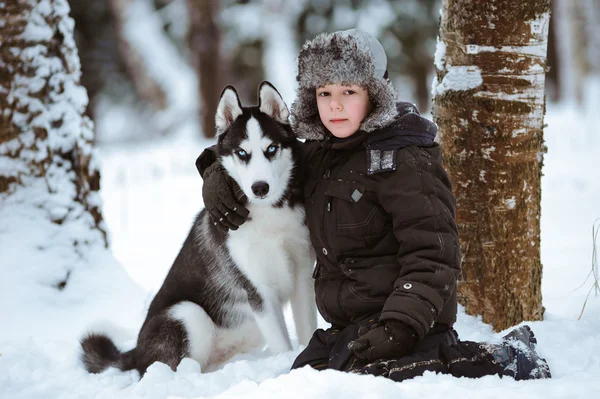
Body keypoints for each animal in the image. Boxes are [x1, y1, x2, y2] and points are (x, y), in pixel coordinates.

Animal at [81, 82, 318, 378]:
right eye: (242, 153)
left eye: (271, 148)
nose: (259, 188)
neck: (270, 216)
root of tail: (134, 352)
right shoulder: (258, 289)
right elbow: (281, 343)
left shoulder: (302, 273)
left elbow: (308, 330)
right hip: (188, 314)